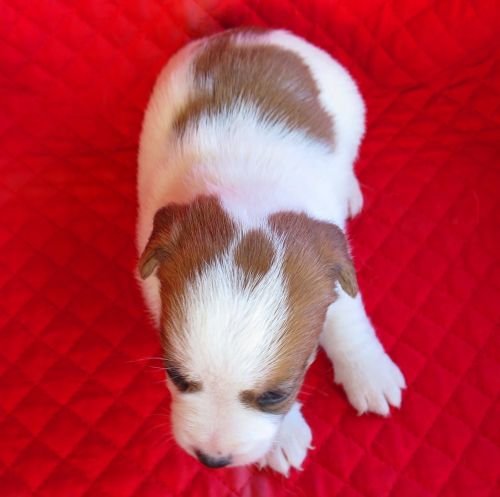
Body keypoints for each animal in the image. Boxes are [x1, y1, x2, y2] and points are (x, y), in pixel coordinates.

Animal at [136, 28, 405, 476]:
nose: (212, 459)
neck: (246, 198)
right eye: (176, 376)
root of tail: (248, 33)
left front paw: (367, 371)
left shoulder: (333, 263)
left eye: (276, 395)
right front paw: (286, 436)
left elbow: (346, 321)